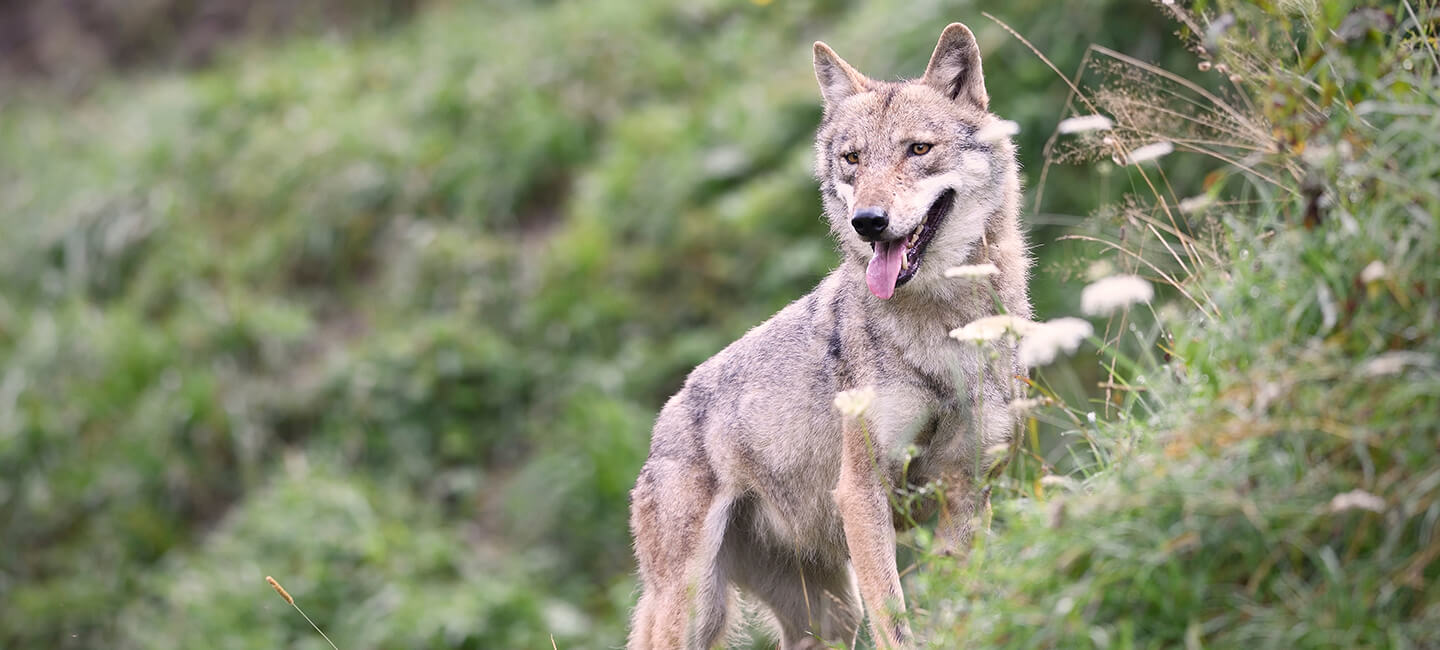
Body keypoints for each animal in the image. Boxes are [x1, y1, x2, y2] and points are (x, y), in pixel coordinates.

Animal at [630, 22, 1036, 648]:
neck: (943, 326)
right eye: (852, 158)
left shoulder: (966, 489)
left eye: (918, 150)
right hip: (696, 611)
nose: (867, 221)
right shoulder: (862, 493)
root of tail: (662, 423)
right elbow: (895, 621)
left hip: (828, 616)